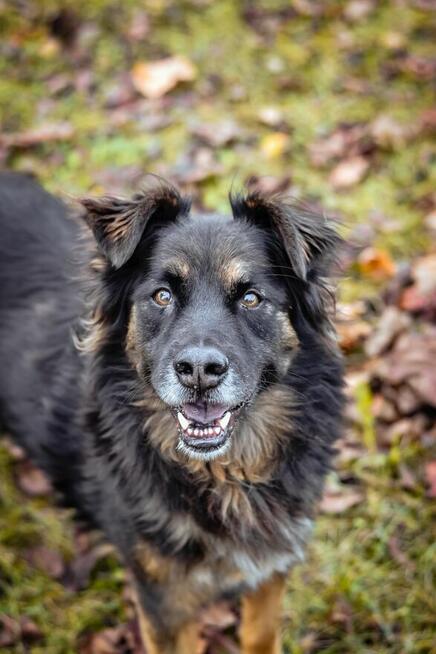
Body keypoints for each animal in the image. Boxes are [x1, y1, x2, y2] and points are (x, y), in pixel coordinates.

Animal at [0, 172, 344, 652]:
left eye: (251, 298)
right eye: (161, 295)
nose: (199, 370)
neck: (223, 477)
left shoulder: (271, 564)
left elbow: (260, 635)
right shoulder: (165, 601)